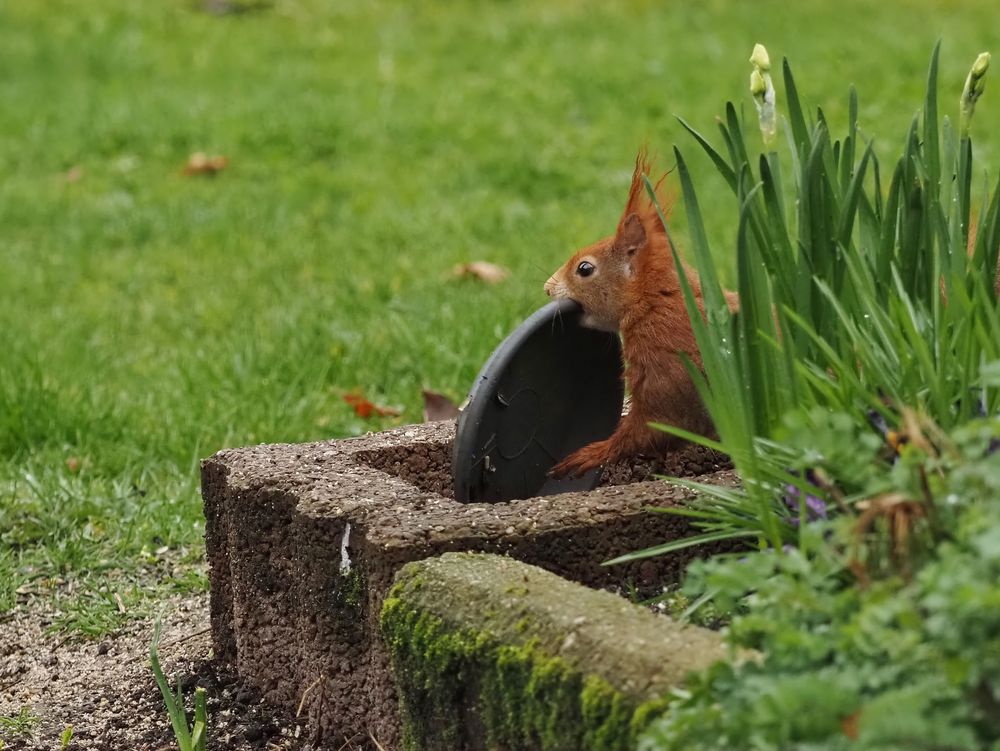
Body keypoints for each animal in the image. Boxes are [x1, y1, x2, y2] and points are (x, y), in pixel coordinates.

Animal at [544, 153, 740, 478]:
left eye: (584, 269)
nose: (547, 288)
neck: (655, 301)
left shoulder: (666, 358)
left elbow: (660, 424)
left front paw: (588, 455)